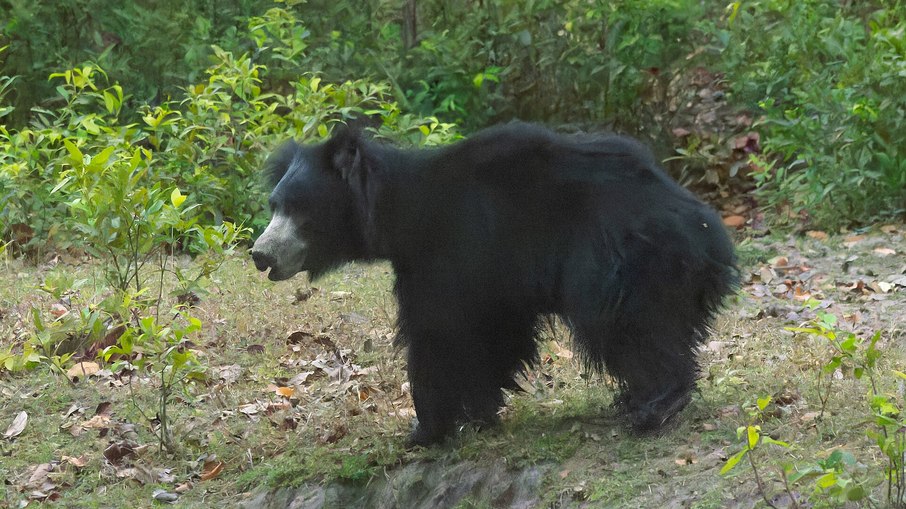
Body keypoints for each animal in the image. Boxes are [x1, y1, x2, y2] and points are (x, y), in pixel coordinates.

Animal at [251, 122, 738, 446]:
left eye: (299, 209)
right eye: (274, 205)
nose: (261, 255)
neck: (405, 215)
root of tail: (708, 231)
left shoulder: (451, 255)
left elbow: (439, 333)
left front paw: (425, 429)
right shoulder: (489, 277)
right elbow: (493, 335)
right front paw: (478, 413)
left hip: (623, 260)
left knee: (624, 325)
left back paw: (656, 404)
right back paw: (636, 399)